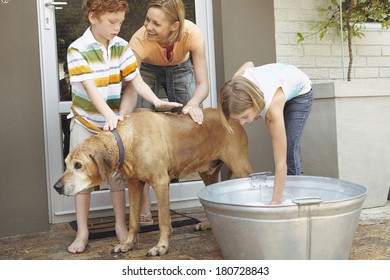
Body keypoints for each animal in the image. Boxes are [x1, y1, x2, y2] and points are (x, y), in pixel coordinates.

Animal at [53, 107, 251, 256]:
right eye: (66, 163)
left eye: (78, 165)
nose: (56, 187)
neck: (128, 141)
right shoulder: (134, 185)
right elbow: (133, 221)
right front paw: (127, 244)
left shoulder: (161, 183)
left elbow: (163, 220)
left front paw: (161, 247)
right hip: (206, 172)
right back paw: (207, 224)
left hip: (240, 166)